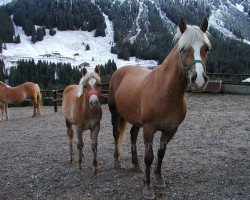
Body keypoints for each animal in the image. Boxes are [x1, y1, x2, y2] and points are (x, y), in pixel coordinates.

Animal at [109, 18, 211, 199]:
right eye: (183, 49)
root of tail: (121, 71)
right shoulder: (149, 128)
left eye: (206, 48)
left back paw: (136, 165)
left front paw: (159, 178)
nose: (198, 80)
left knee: (133, 135)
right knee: (116, 135)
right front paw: (148, 187)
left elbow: (161, 153)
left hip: (137, 121)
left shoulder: (170, 130)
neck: (165, 92)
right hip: (115, 113)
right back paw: (117, 162)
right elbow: (149, 157)